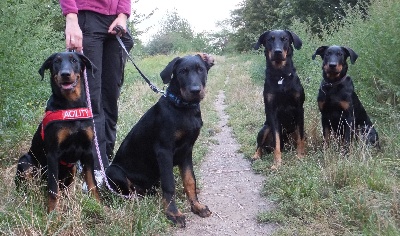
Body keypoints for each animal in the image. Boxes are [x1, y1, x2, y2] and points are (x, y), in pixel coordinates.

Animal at [15, 51, 100, 212]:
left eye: (74, 60)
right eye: (56, 62)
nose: (65, 74)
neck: (71, 106)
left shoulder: (88, 151)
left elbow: (92, 184)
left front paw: (99, 206)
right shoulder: (53, 154)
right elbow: (53, 190)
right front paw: (53, 213)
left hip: (72, 168)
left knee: (64, 189)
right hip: (25, 163)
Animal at [104, 53, 214, 227]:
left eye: (201, 70)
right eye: (182, 72)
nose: (195, 90)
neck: (183, 107)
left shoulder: (187, 150)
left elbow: (190, 180)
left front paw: (197, 206)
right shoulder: (164, 150)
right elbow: (169, 185)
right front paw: (173, 214)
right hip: (113, 171)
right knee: (128, 192)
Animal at [253, 30, 306, 170]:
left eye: (285, 39)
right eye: (269, 40)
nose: (277, 52)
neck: (280, 75)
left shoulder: (299, 108)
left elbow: (301, 138)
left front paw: (300, 157)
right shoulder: (272, 111)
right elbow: (277, 141)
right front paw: (277, 163)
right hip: (264, 128)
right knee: (260, 146)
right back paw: (256, 156)